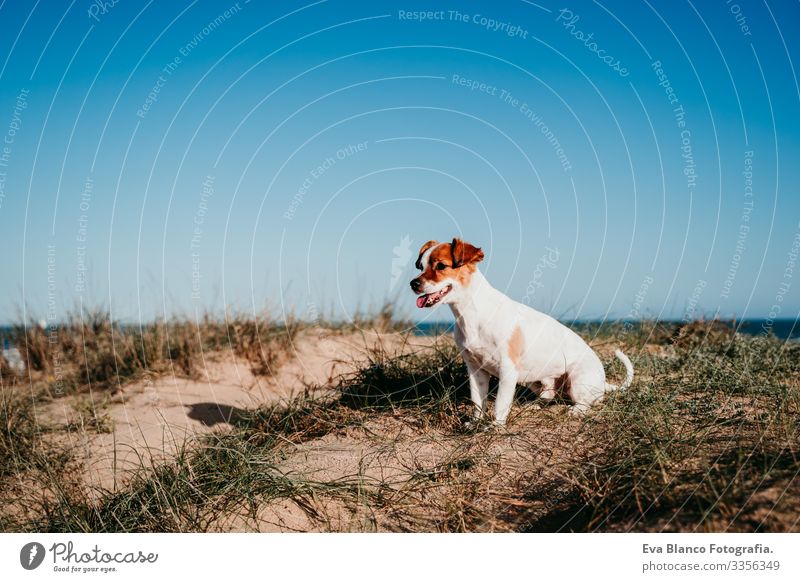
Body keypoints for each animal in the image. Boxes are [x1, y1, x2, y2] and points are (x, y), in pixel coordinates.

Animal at [410, 240, 636, 426]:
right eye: (420, 266)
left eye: (441, 266)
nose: (413, 283)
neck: (471, 314)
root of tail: (604, 383)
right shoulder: (475, 370)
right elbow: (478, 401)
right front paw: (475, 423)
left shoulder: (508, 371)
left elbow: (500, 404)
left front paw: (495, 427)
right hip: (536, 382)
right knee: (551, 397)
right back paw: (533, 405)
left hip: (578, 380)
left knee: (586, 402)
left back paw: (576, 410)